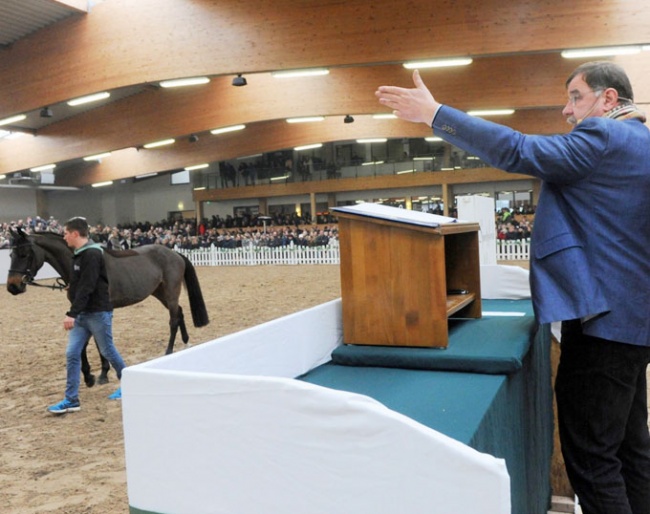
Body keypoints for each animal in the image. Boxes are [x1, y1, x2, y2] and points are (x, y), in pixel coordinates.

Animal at [7, 228, 210, 384]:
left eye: (25, 254)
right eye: (11, 254)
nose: (12, 286)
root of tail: (174, 253)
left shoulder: (99, 310)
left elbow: (97, 341)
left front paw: (102, 374)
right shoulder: (83, 310)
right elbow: (87, 340)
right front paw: (90, 374)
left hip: (170, 292)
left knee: (173, 319)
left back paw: (168, 351)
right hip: (160, 293)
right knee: (180, 313)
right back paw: (186, 342)